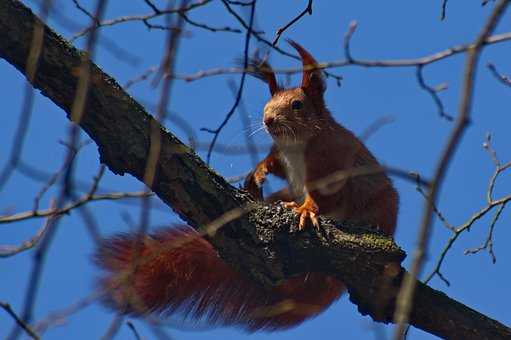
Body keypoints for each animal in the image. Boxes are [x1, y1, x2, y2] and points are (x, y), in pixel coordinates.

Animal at [96, 39, 400, 332]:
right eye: (268, 102)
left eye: (297, 104)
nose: (267, 119)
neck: (296, 144)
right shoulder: (282, 157)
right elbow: (273, 164)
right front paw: (258, 173)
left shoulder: (331, 163)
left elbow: (325, 196)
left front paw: (307, 209)